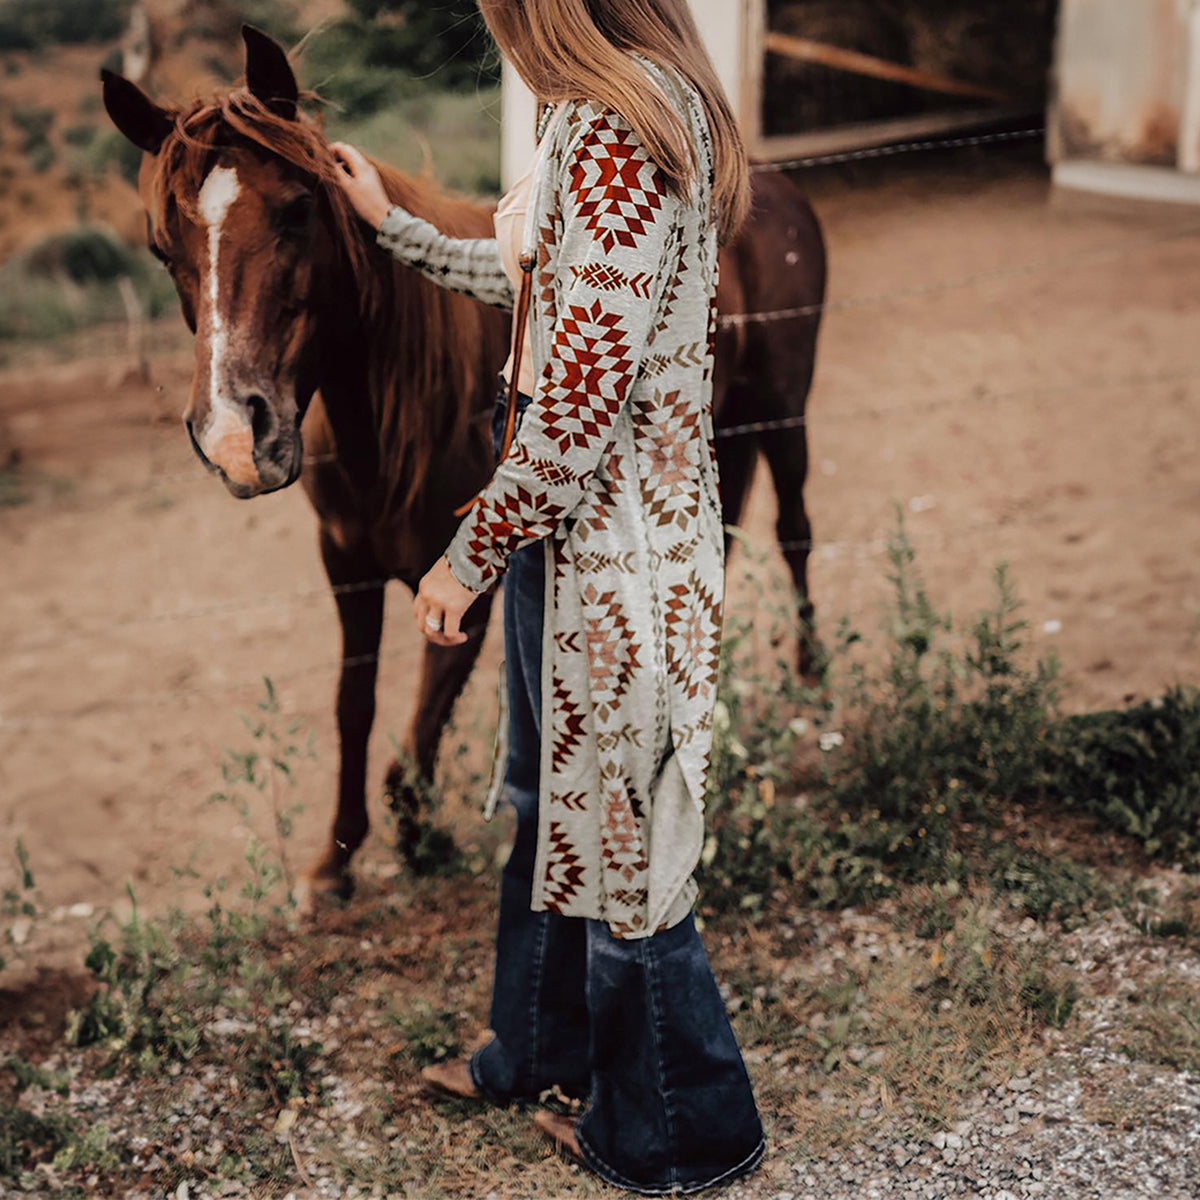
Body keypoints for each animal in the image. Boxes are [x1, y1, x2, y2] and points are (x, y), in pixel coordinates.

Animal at [103, 25, 825, 902]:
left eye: (298, 209)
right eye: (162, 248)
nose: (236, 439)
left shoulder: (465, 587)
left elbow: (421, 724)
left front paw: (419, 836)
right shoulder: (345, 566)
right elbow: (355, 707)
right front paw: (336, 859)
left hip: (785, 414)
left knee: (794, 530)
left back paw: (812, 671)